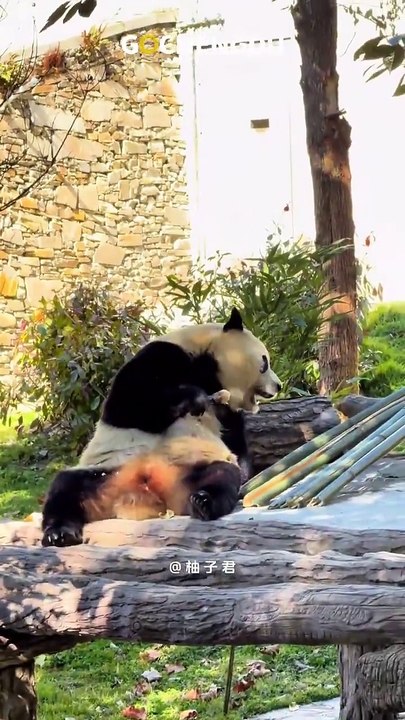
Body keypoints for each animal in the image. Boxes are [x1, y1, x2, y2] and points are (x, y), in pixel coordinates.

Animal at [41, 307, 282, 547]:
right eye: (264, 362)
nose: (278, 385)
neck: (209, 369)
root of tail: (140, 495)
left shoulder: (229, 413)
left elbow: (236, 445)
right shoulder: (162, 355)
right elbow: (131, 403)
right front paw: (195, 398)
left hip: (191, 469)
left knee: (222, 476)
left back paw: (203, 502)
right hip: (105, 471)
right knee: (65, 488)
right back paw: (59, 533)